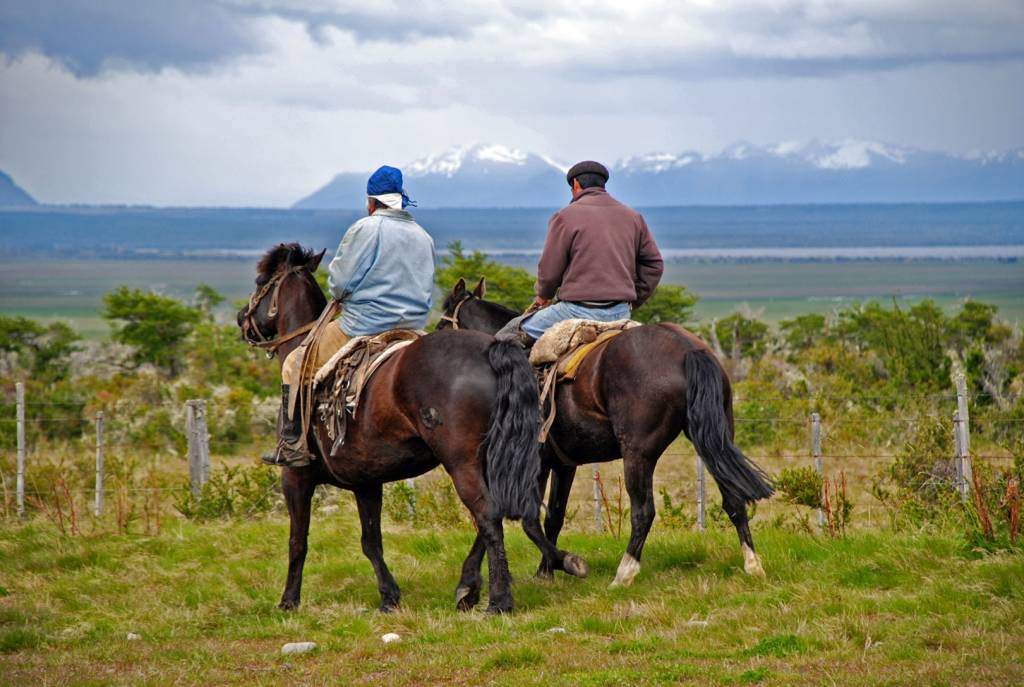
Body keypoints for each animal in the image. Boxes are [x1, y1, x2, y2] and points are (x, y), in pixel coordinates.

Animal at [237, 243, 546, 613]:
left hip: (464, 463)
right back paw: (473, 587)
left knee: (488, 515)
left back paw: (498, 600)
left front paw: (288, 600)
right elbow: (371, 540)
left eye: (261, 281)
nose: (241, 318)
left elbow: (298, 540)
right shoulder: (366, 481)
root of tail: (491, 350)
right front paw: (389, 596)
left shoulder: (295, 477)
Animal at [437, 278, 774, 587]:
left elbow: (524, 516)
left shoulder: (533, 461)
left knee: (643, 511)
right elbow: (553, 515)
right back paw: (753, 565)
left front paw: (561, 564)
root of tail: (687, 349)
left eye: (442, 322)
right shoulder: (563, 464)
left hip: (638, 453)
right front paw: (547, 570)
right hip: (714, 439)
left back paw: (624, 573)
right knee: (734, 499)